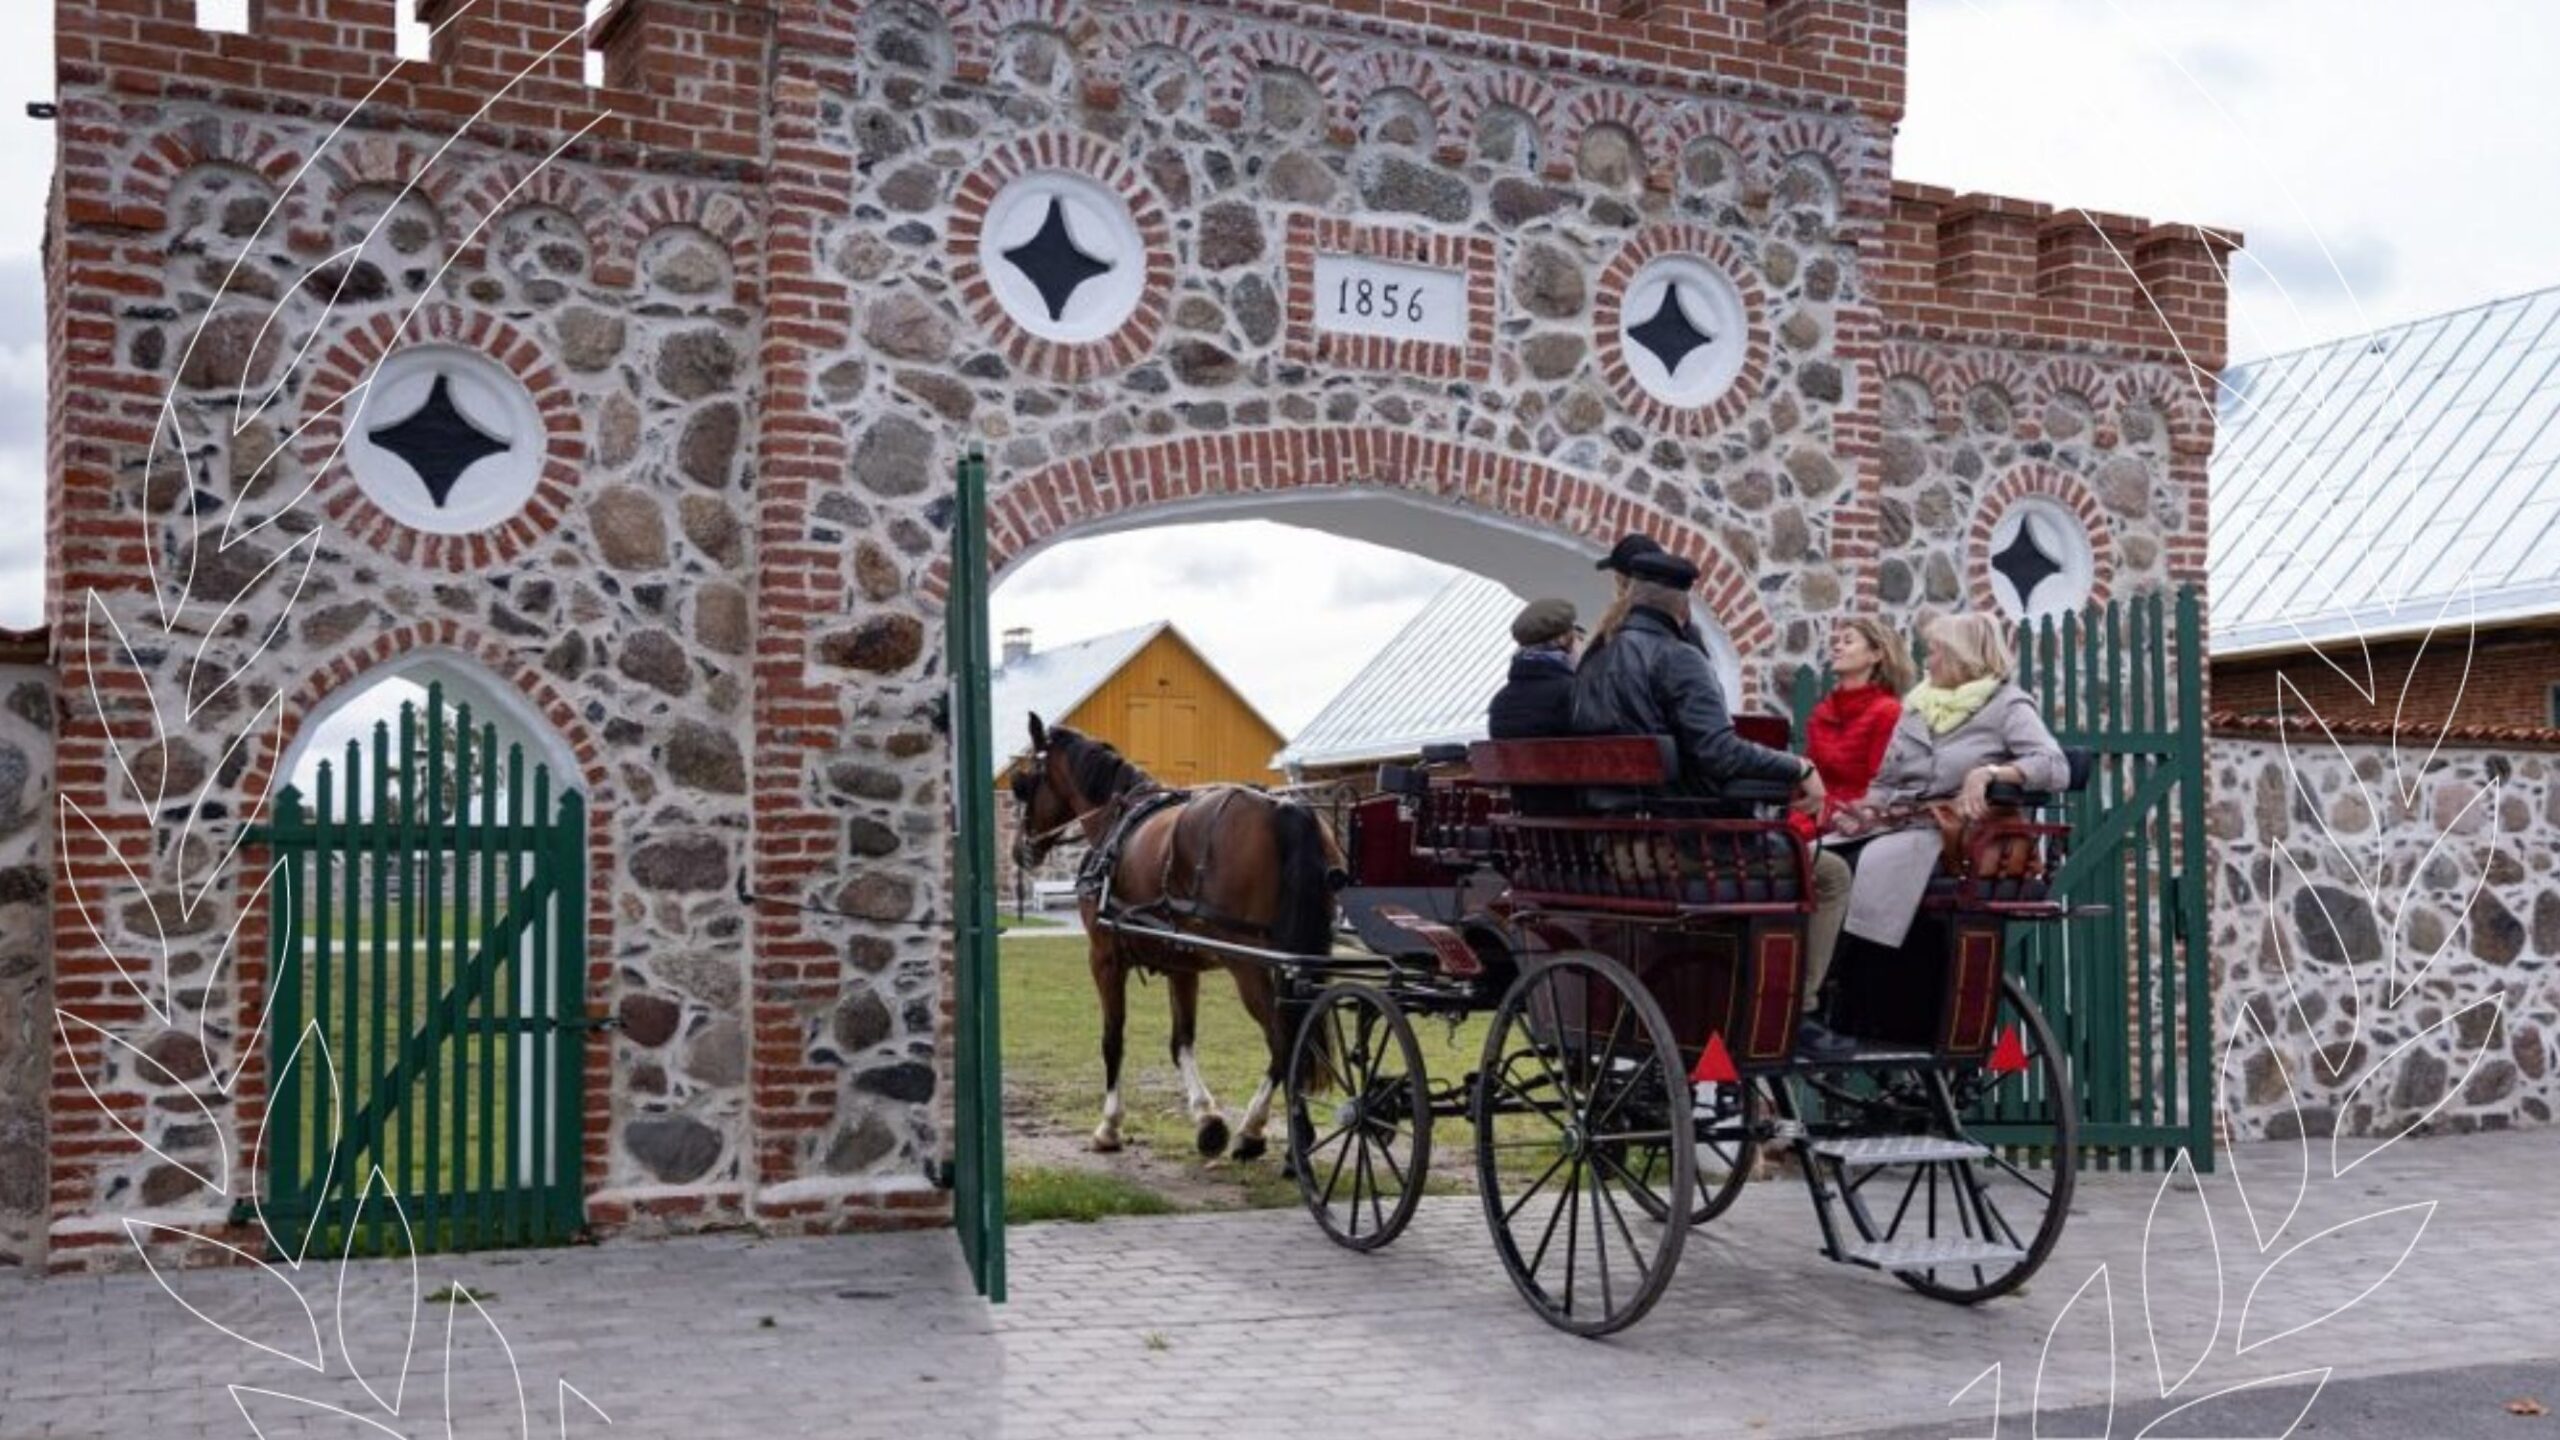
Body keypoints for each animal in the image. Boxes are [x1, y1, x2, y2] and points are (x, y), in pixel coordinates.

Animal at [1008, 712, 1351, 1158]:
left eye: (1022, 782)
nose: (1019, 849)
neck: (1116, 822)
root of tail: (1285, 808)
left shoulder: (1104, 958)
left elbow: (1112, 1039)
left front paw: (1109, 1127)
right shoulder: (1182, 964)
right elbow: (1181, 1041)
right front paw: (1207, 1119)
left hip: (1247, 963)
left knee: (1284, 1040)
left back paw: (1259, 1131)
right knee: (1295, 1036)